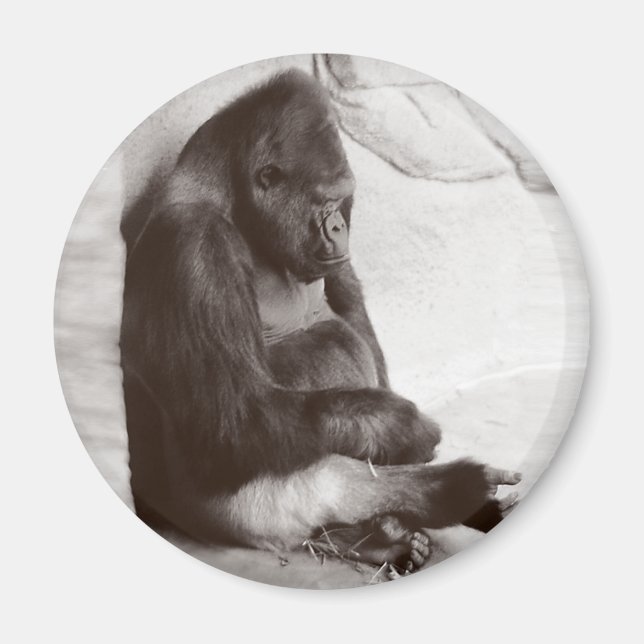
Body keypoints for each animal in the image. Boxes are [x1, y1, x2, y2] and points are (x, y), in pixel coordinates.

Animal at [120, 68, 520, 575]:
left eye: (344, 200)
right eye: (322, 201)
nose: (338, 228)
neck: (230, 195)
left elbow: (349, 310)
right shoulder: (193, 248)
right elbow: (235, 418)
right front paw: (402, 425)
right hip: (223, 516)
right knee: (313, 480)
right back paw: (431, 502)